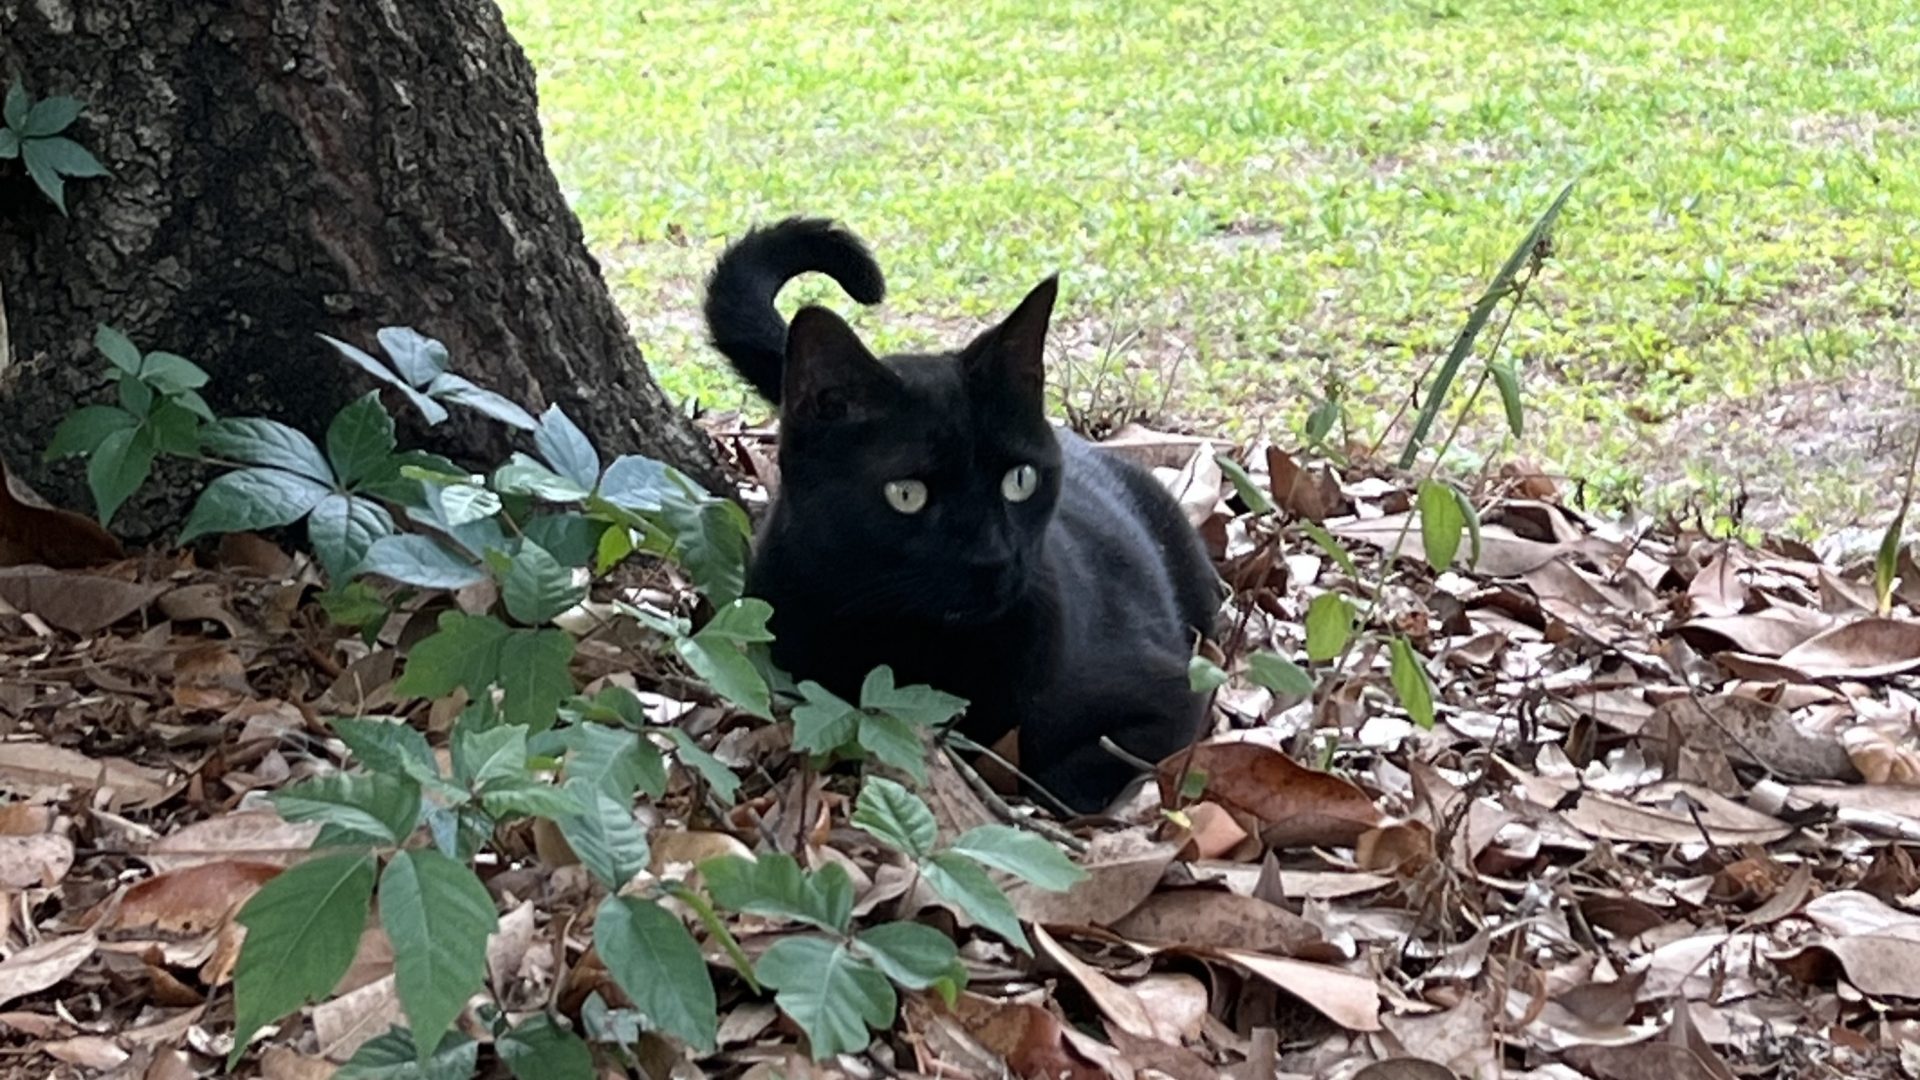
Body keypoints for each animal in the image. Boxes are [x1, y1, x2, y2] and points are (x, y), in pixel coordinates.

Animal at [704, 217, 1221, 812]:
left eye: (1019, 480)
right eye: (907, 494)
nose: (991, 558)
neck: (926, 652)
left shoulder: (1172, 696)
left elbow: (1063, 782)